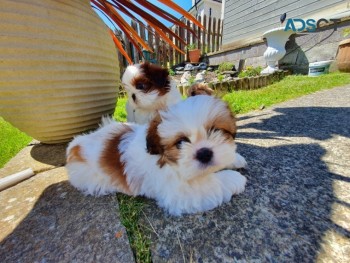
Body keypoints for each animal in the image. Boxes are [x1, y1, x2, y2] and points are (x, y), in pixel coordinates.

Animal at [65, 96, 246, 216]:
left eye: (215, 130)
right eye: (180, 143)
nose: (204, 152)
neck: (164, 158)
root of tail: (75, 146)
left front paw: (235, 159)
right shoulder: (179, 192)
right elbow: (212, 182)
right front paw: (235, 178)